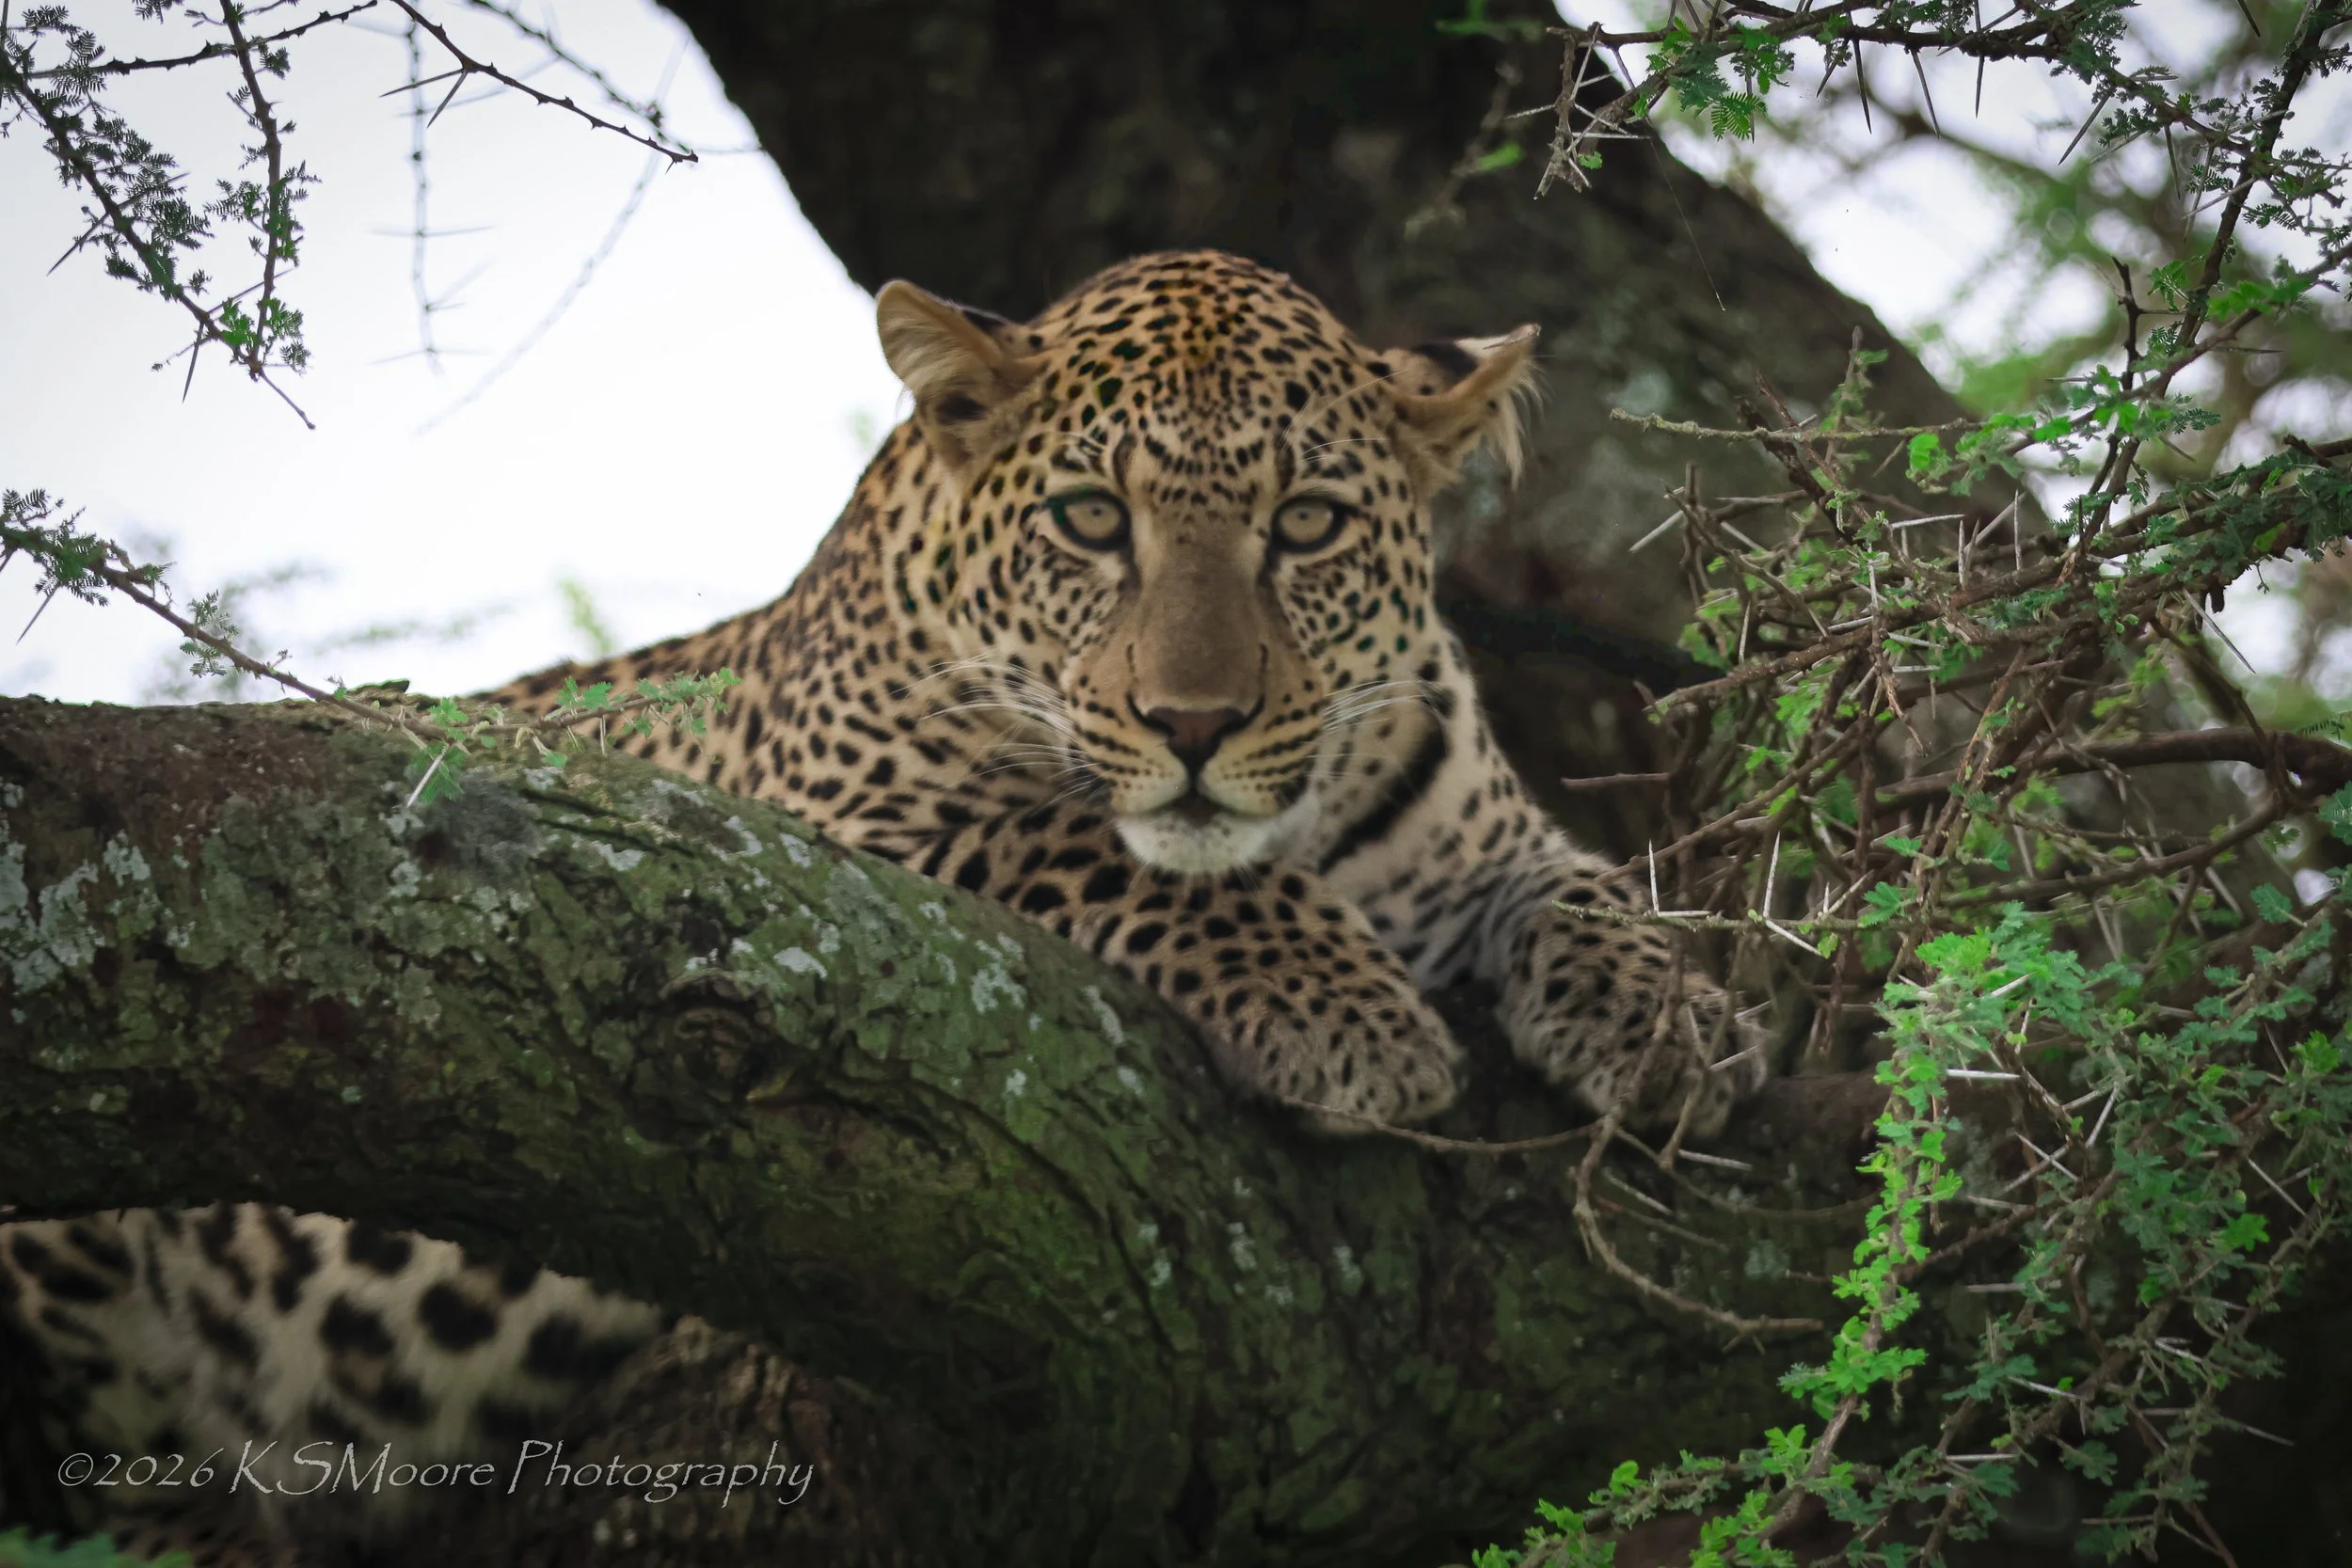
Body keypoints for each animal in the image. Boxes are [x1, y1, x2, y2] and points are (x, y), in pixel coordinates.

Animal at [1, 250, 1765, 1563]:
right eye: (1093, 522)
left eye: (1307, 526)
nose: (1195, 721)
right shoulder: (810, 846)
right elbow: (1078, 843)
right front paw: (1335, 1008)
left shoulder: (1480, 839)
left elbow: (1589, 890)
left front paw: (1677, 1019)